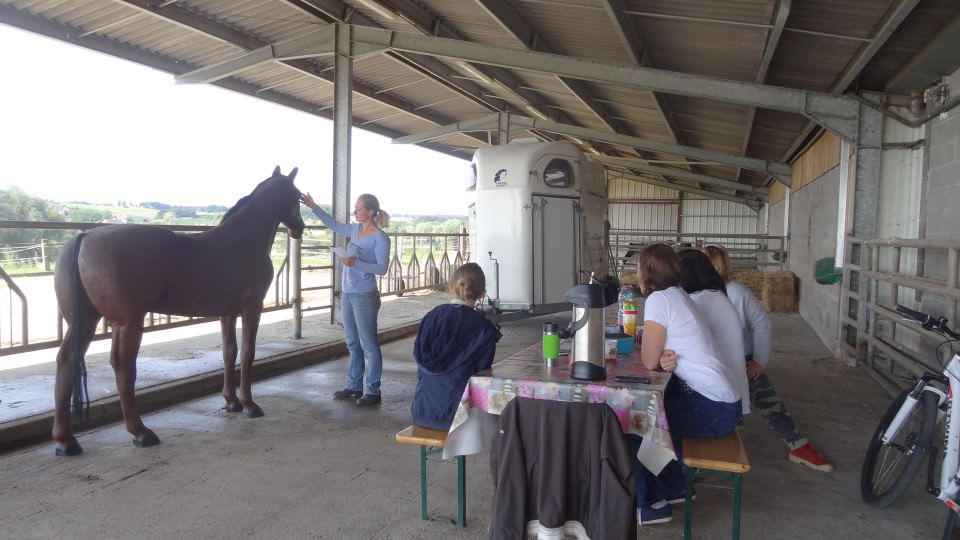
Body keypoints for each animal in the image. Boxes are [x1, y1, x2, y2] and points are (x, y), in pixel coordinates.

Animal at [51, 166, 304, 456]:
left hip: (85, 323)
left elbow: (230, 352)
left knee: (66, 362)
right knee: (123, 369)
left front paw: (231, 402)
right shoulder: (252, 308)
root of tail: (85, 237)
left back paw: (66, 441)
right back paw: (141, 433)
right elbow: (248, 353)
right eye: (296, 195)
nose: (300, 228)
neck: (243, 239)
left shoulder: (227, 313)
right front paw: (249, 405)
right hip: (128, 324)